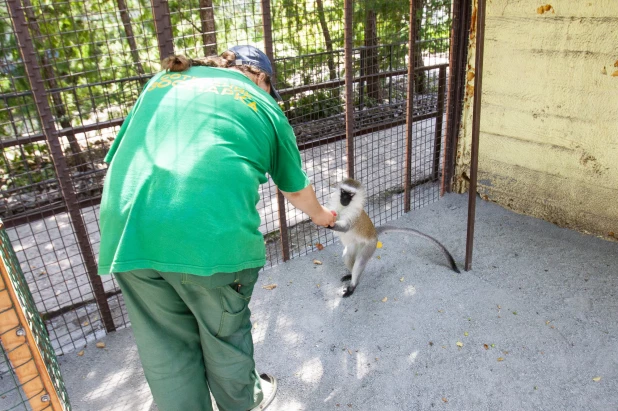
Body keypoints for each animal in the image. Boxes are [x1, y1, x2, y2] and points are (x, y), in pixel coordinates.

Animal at [328, 179, 458, 298]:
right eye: (343, 192)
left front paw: (327, 224)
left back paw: (353, 285)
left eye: (350, 195)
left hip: (370, 245)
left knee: (360, 261)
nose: (344, 199)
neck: (345, 208)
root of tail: (374, 233)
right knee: (347, 256)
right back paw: (350, 275)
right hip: (355, 244)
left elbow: (345, 228)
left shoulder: (353, 215)